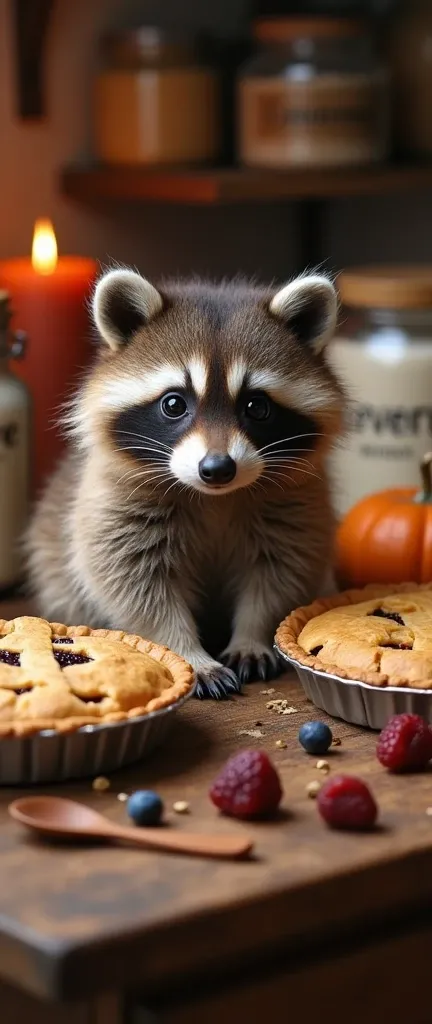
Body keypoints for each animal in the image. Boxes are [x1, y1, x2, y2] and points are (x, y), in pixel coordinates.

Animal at [25, 268, 346, 700]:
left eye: (256, 407)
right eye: (174, 404)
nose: (217, 468)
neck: (214, 496)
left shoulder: (296, 502)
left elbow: (280, 573)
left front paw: (252, 634)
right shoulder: (113, 500)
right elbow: (134, 582)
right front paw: (187, 651)